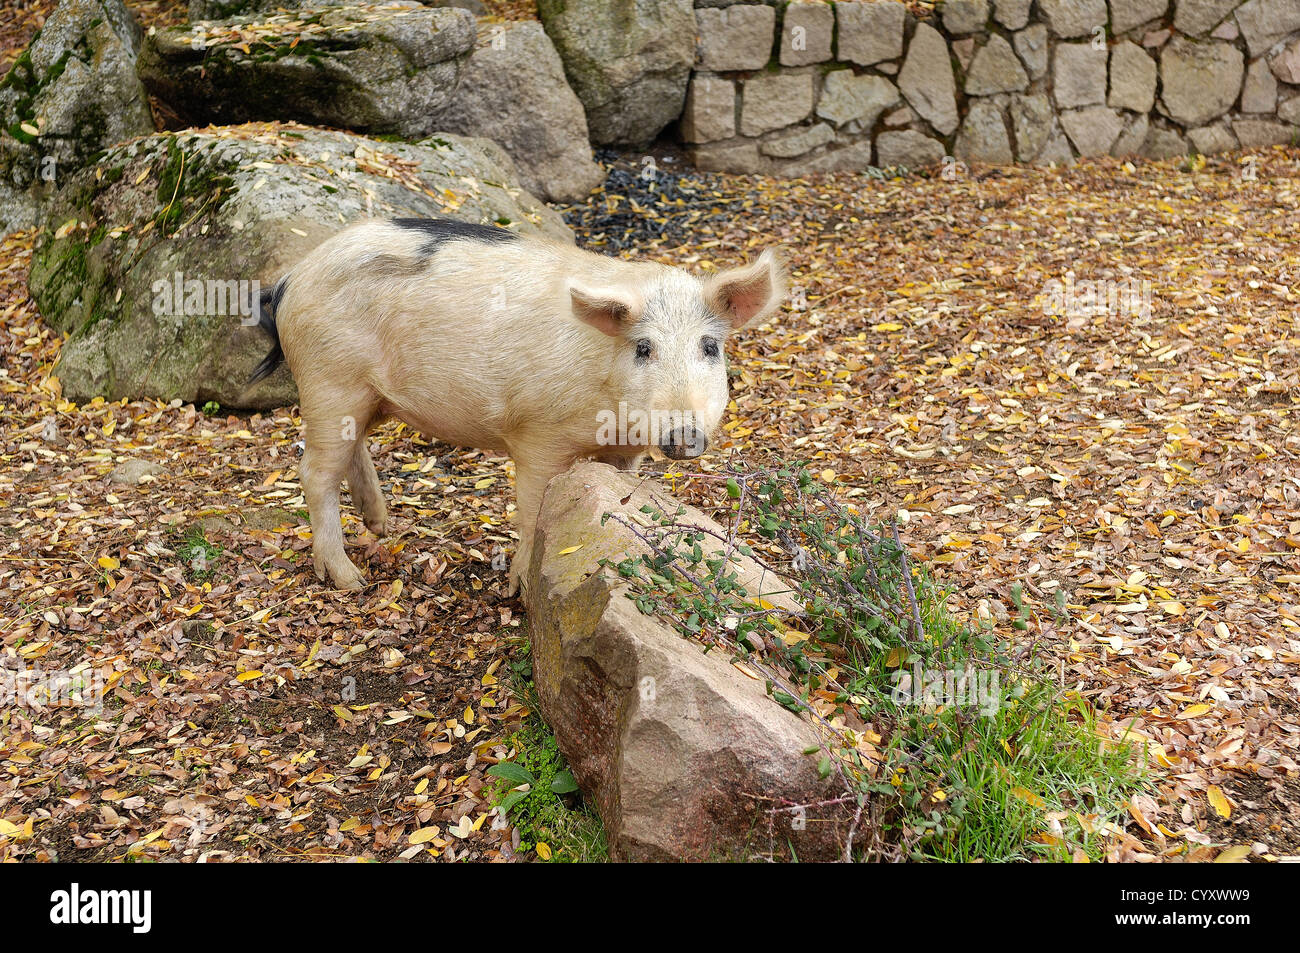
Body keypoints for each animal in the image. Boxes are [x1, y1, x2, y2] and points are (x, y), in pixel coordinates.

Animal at [248, 217, 785, 593]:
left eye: (710, 347)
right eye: (643, 348)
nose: (684, 435)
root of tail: (291, 277)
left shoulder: (624, 450)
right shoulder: (537, 436)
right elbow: (531, 512)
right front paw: (519, 590)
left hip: (361, 393)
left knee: (351, 446)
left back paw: (382, 525)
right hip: (327, 376)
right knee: (314, 472)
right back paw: (349, 580)